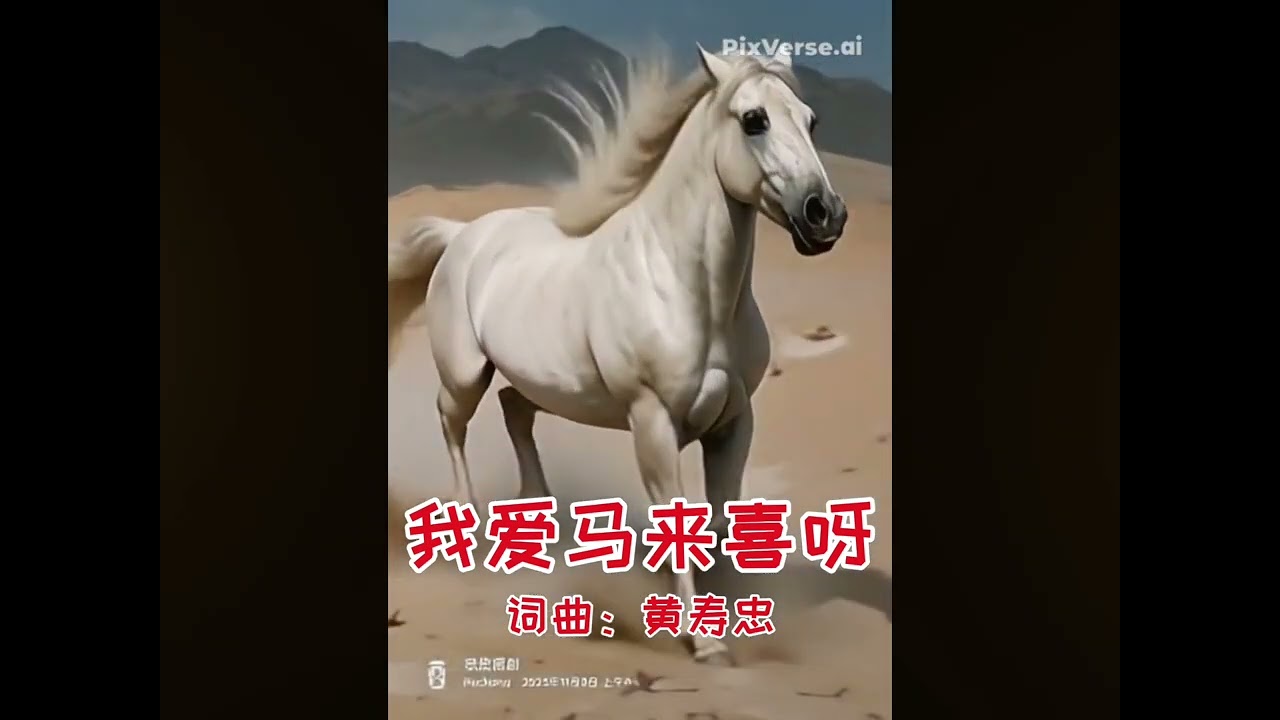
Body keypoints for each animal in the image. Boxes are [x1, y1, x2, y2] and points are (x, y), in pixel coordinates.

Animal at [387, 45, 848, 666]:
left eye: (811, 120)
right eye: (754, 119)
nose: (826, 215)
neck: (690, 292)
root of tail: (461, 234)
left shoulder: (734, 422)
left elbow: (722, 519)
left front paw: (734, 621)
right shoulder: (652, 421)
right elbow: (676, 519)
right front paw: (703, 640)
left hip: (545, 384)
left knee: (514, 407)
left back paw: (536, 516)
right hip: (464, 375)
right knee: (452, 422)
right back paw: (467, 526)